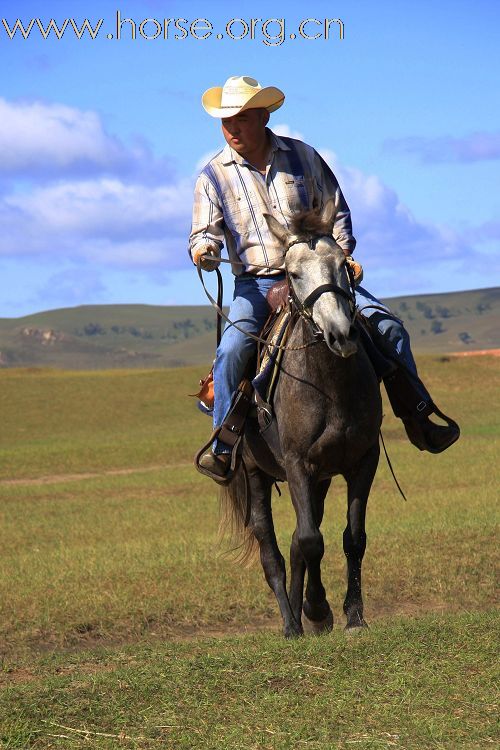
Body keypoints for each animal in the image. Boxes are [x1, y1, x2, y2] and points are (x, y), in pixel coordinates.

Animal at [221, 200, 380, 640]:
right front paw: (318, 609)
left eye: (343, 264)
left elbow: (351, 538)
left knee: (294, 542)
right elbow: (310, 540)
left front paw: (351, 615)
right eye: (293, 273)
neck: (329, 385)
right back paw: (291, 622)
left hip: (320, 479)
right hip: (255, 474)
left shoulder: (362, 461)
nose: (341, 334)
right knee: (271, 550)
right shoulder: (296, 464)